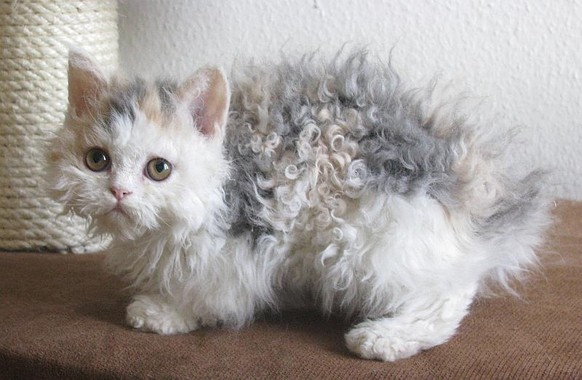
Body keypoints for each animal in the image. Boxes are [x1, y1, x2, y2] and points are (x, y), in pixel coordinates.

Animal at [49, 49, 552, 360]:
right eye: (97, 161)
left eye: (159, 169)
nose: (119, 192)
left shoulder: (240, 247)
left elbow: (213, 296)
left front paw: (163, 312)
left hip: (369, 236)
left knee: (449, 294)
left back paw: (384, 338)